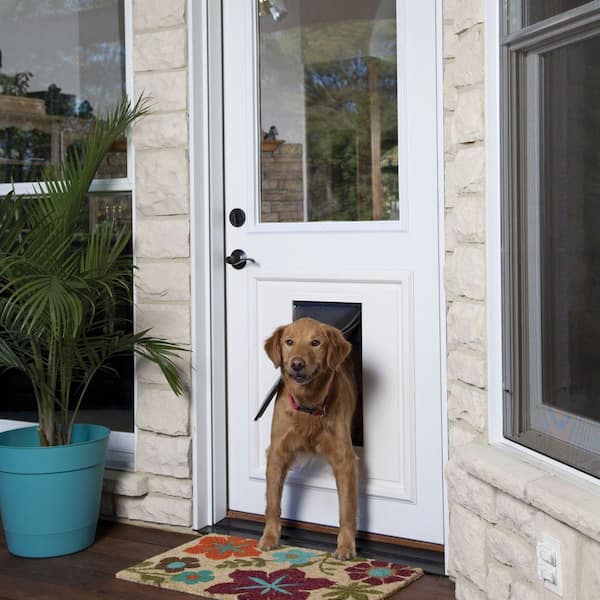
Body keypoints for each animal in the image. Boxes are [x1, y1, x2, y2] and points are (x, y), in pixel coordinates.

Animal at [258, 318, 356, 556]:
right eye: (289, 342)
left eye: (315, 342)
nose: (297, 364)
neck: (308, 405)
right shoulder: (277, 453)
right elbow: (272, 502)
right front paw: (270, 537)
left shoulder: (344, 459)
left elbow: (346, 509)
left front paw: (346, 545)